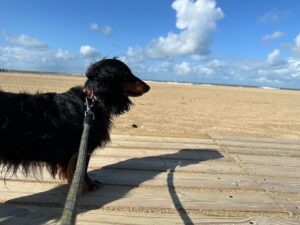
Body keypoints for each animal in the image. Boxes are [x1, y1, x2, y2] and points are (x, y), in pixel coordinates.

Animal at [0, 57, 150, 190]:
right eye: (126, 73)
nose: (148, 87)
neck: (92, 101)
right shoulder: (82, 148)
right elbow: (82, 170)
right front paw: (88, 185)